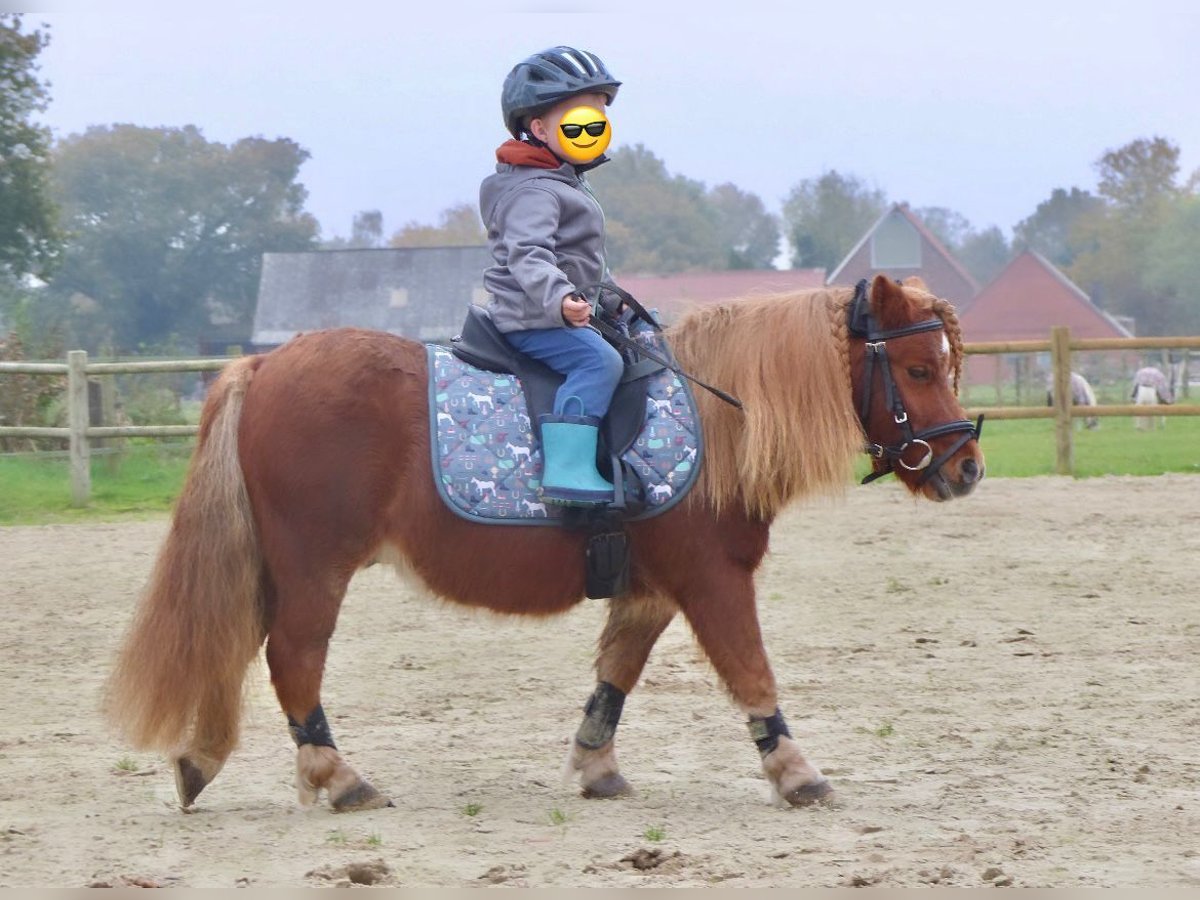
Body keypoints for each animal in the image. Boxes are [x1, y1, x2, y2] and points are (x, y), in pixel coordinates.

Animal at [105, 278, 984, 816]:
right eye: (915, 368)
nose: (968, 468)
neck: (718, 419)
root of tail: (261, 365)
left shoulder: (651, 590)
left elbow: (614, 677)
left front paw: (596, 766)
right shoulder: (713, 579)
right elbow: (752, 673)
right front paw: (798, 773)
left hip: (278, 566)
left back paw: (202, 760)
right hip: (315, 567)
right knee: (292, 658)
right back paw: (340, 779)